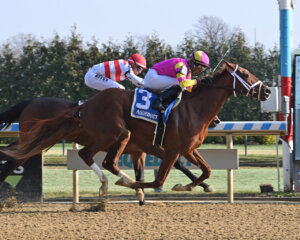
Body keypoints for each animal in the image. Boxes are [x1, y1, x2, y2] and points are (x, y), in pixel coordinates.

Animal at [0, 61, 272, 194]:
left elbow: (205, 170)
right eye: (245, 74)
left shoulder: (183, 149)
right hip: (116, 132)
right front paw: (141, 187)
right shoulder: (170, 149)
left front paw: (192, 186)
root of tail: (84, 106)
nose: (268, 91)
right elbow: (159, 177)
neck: (193, 107)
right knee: (93, 157)